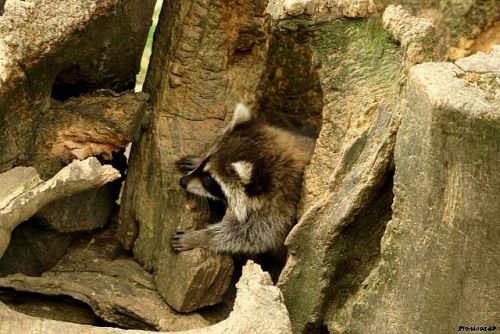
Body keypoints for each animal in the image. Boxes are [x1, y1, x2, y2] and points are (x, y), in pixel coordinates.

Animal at [172, 104, 312, 256]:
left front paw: (201, 237)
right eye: (206, 161)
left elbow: (251, 235)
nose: (183, 182)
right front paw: (197, 161)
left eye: (209, 180)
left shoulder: (280, 210)